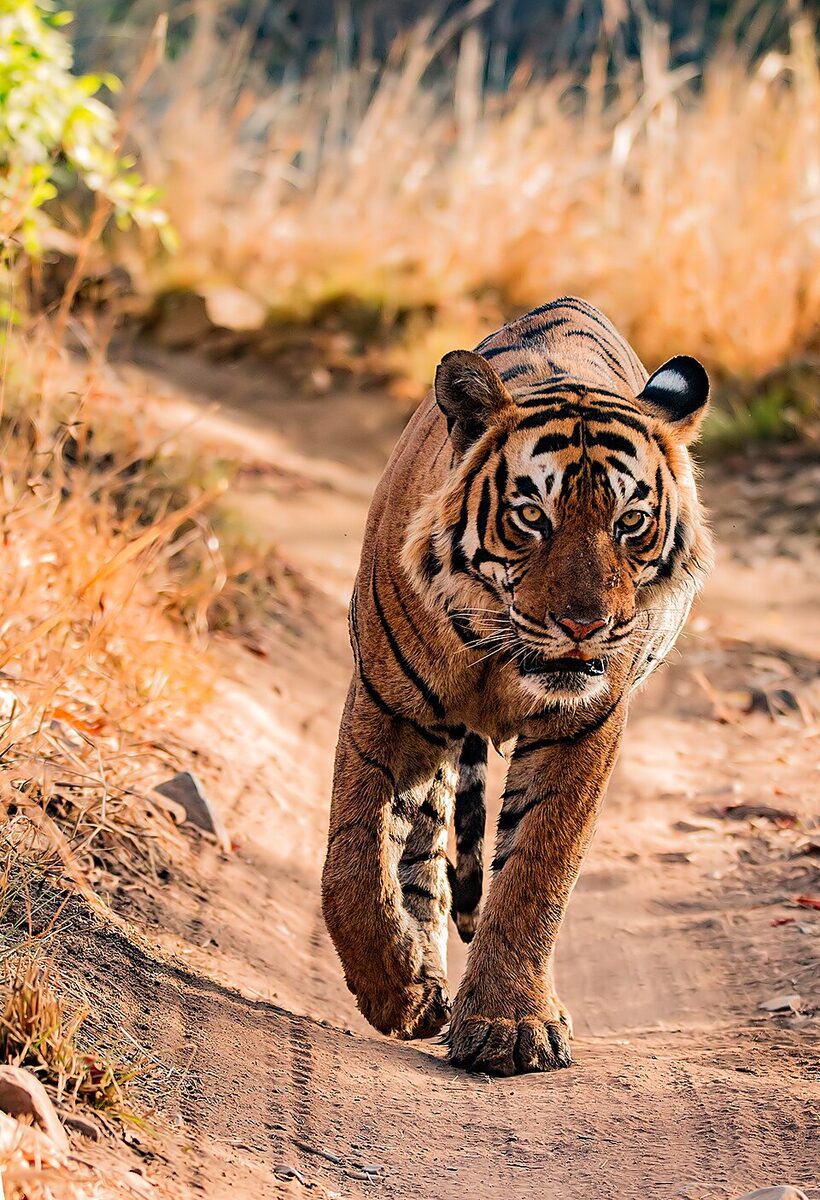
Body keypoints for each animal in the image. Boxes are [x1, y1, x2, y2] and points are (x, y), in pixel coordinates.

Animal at [321, 296, 713, 1076]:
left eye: (631, 523)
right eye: (532, 516)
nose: (585, 624)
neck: (502, 656)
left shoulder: (584, 723)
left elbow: (538, 868)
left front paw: (509, 1024)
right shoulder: (387, 703)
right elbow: (353, 861)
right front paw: (395, 991)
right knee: (424, 847)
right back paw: (422, 978)